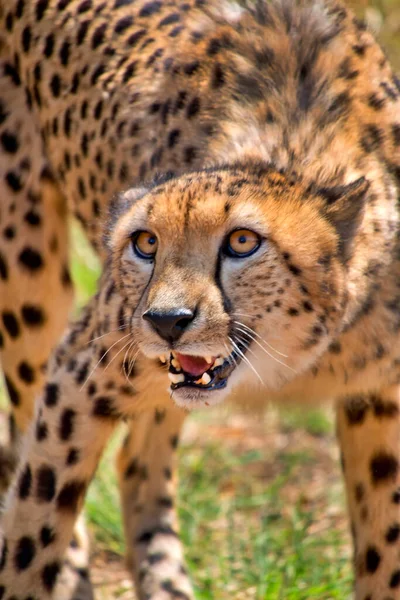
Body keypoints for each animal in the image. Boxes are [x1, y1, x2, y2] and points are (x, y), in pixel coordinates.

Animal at [0, 0, 398, 596]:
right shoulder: (78, 374)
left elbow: (384, 549)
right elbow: (34, 522)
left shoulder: (381, 396)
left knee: (137, 458)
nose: (167, 320)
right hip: (25, 270)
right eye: (146, 243)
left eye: (242, 242)